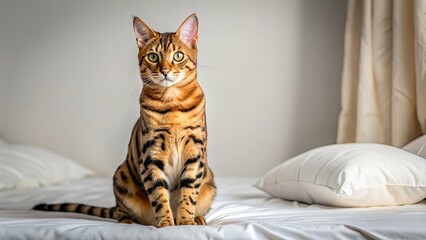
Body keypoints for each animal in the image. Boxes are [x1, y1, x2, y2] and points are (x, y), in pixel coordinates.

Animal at [32, 13, 216, 227]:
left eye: (178, 56)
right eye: (153, 57)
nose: (164, 71)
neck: (172, 103)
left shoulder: (195, 152)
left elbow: (188, 194)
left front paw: (186, 222)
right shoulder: (151, 155)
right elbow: (159, 197)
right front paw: (166, 224)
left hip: (209, 180)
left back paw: (199, 218)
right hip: (122, 176)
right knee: (121, 213)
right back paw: (131, 222)